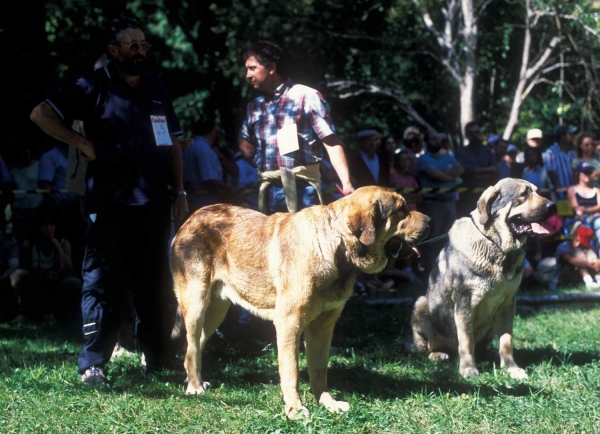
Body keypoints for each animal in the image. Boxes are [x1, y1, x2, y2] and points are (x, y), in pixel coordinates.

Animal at [410, 178, 556, 378]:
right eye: (524, 194)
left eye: (536, 191)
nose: (553, 206)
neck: (497, 246)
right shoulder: (464, 303)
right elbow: (466, 340)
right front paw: (468, 368)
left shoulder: (508, 303)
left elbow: (506, 340)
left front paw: (511, 368)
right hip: (421, 305)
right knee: (430, 347)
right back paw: (439, 354)